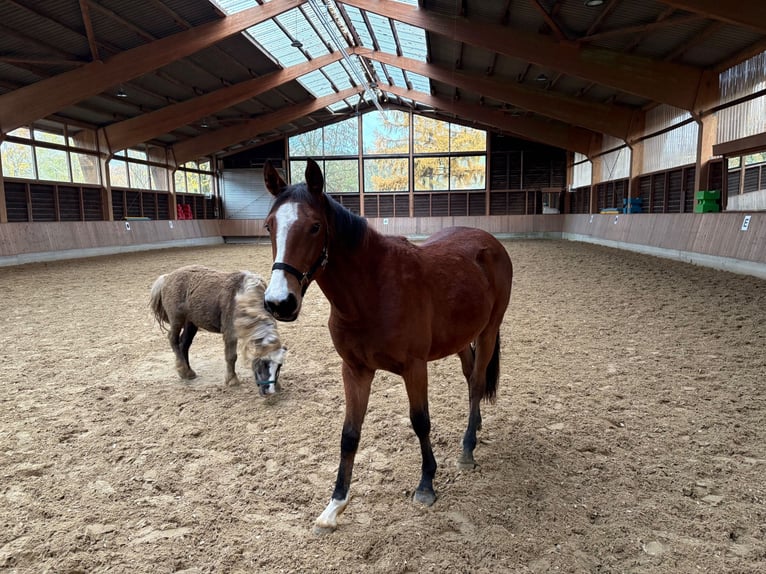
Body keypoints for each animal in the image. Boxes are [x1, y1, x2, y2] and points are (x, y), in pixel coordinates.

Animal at [149, 265, 287, 395]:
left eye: (279, 367)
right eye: (263, 364)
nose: (269, 391)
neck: (244, 298)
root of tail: (167, 277)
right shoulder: (230, 333)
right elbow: (231, 357)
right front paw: (232, 380)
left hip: (191, 323)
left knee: (184, 344)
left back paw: (189, 372)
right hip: (177, 319)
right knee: (173, 339)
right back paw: (183, 370)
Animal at [261, 159, 513, 533]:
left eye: (315, 227)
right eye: (269, 226)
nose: (280, 302)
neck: (372, 291)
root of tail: (489, 242)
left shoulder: (414, 367)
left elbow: (420, 421)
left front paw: (426, 484)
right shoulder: (355, 370)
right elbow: (349, 434)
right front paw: (335, 504)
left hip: (488, 331)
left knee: (477, 384)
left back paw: (468, 449)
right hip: (460, 338)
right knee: (471, 378)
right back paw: (476, 425)